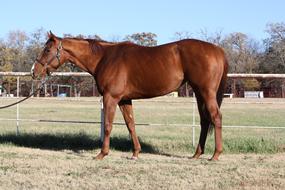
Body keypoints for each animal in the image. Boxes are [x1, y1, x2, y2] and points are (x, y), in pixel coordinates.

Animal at [31, 31, 227, 160]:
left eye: (47, 50)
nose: (34, 71)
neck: (104, 58)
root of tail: (217, 50)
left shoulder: (111, 98)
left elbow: (108, 125)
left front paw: (102, 154)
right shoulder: (125, 100)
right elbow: (130, 124)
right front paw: (135, 153)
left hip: (206, 92)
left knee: (216, 117)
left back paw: (215, 155)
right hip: (199, 93)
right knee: (204, 120)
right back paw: (196, 154)